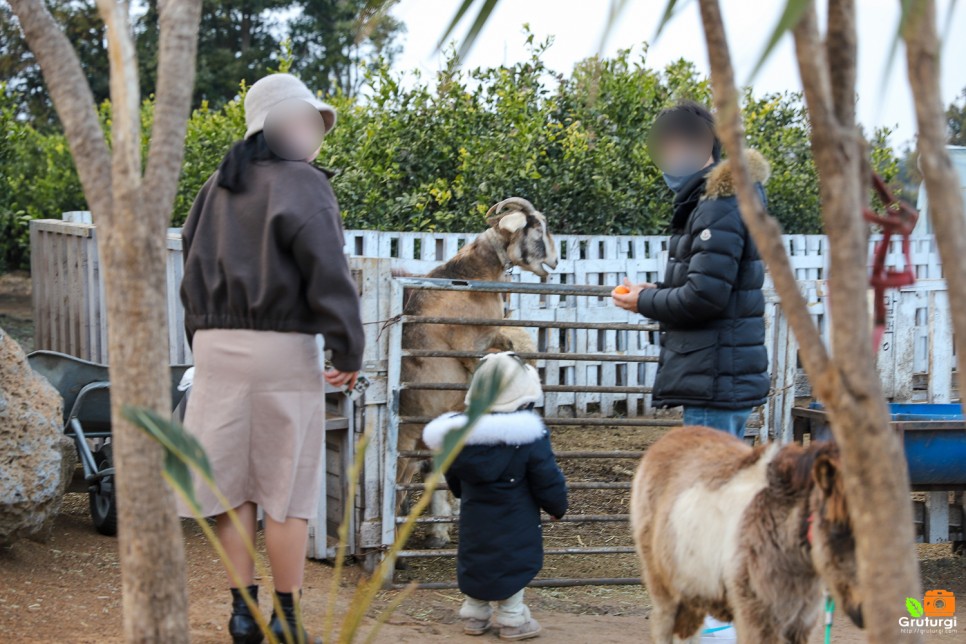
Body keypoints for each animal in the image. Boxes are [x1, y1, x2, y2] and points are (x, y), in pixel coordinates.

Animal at [632, 426, 864, 640]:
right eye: (837, 528)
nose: (862, 611)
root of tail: (665, 439)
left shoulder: (801, 624)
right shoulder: (757, 621)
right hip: (663, 590)